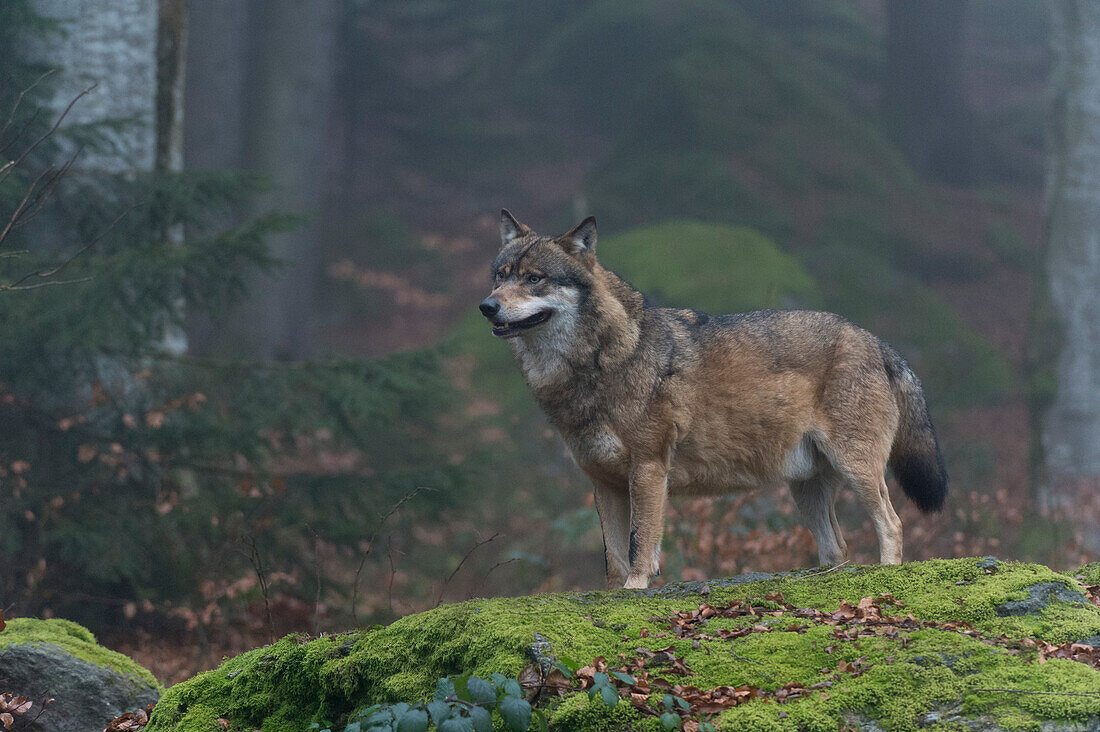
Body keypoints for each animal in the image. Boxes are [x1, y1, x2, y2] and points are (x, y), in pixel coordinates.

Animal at [477, 210, 950, 590]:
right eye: (501, 275)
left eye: (534, 278)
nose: (486, 307)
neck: (600, 361)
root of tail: (877, 342)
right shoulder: (603, 482)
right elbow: (612, 557)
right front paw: (611, 598)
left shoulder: (648, 469)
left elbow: (638, 545)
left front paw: (635, 590)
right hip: (807, 489)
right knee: (838, 547)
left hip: (856, 469)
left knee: (892, 524)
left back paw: (886, 574)